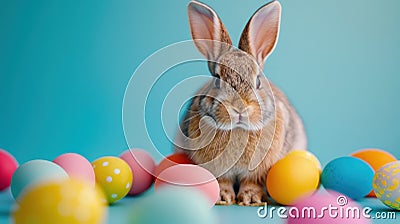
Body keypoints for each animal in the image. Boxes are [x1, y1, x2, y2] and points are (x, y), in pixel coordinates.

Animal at [173, 0, 308, 206]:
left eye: (258, 81)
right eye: (217, 79)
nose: (239, 109)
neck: (237, 129)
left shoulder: (256, 172)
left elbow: (251, 182)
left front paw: (251, 199)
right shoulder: (219, 171)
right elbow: (223, 181)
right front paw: (222, 197)